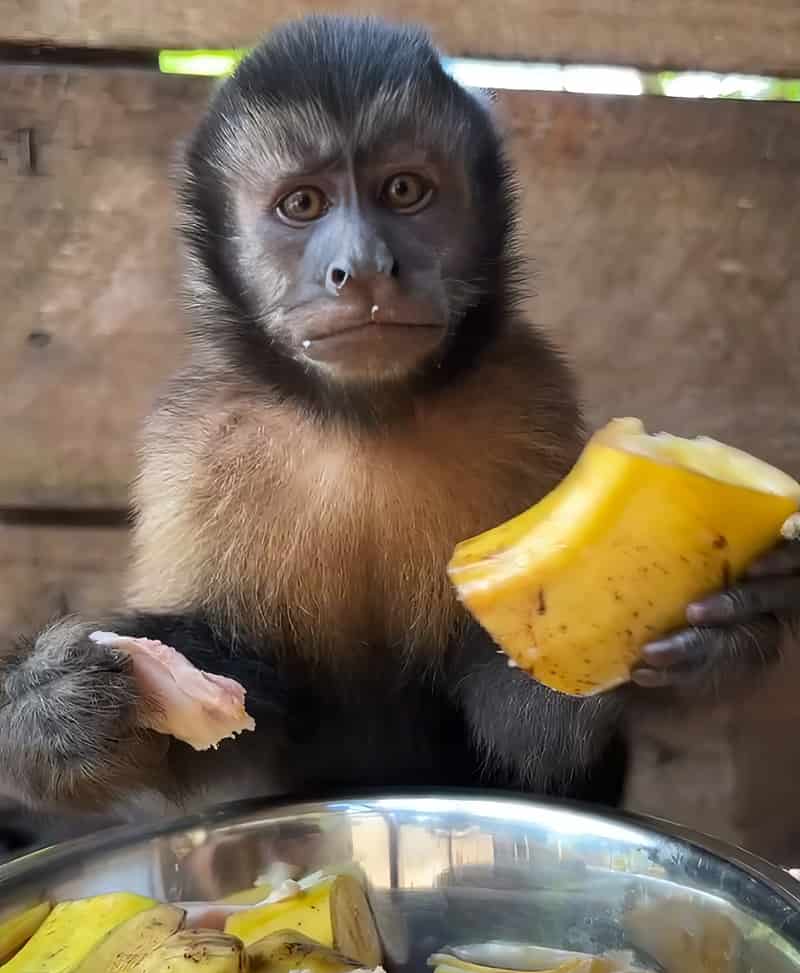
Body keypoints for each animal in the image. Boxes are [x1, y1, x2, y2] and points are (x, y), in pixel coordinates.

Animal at [1, 15, 799, 825]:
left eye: (404, 191)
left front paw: (723, 633)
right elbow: (243, 718)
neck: (362, 421)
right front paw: (52, 706)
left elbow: (531, 735)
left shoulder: (528, 395)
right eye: (303, 205)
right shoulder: (195, 440)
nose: (362, 267)